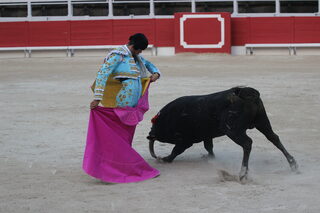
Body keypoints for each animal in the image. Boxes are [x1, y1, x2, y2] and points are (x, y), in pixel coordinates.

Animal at [147, 86, 298, 180]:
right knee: (274, 138)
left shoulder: (185, 140)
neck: (166, 119)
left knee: (247, 143)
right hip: (262, 122)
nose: (150, 134)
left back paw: (242, 174)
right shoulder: (206, 136)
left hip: (232, 130)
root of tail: (246, 92)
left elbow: (176, 150)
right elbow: (209, 147)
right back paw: (293, 165)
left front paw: (165, 159)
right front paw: (210, 157)